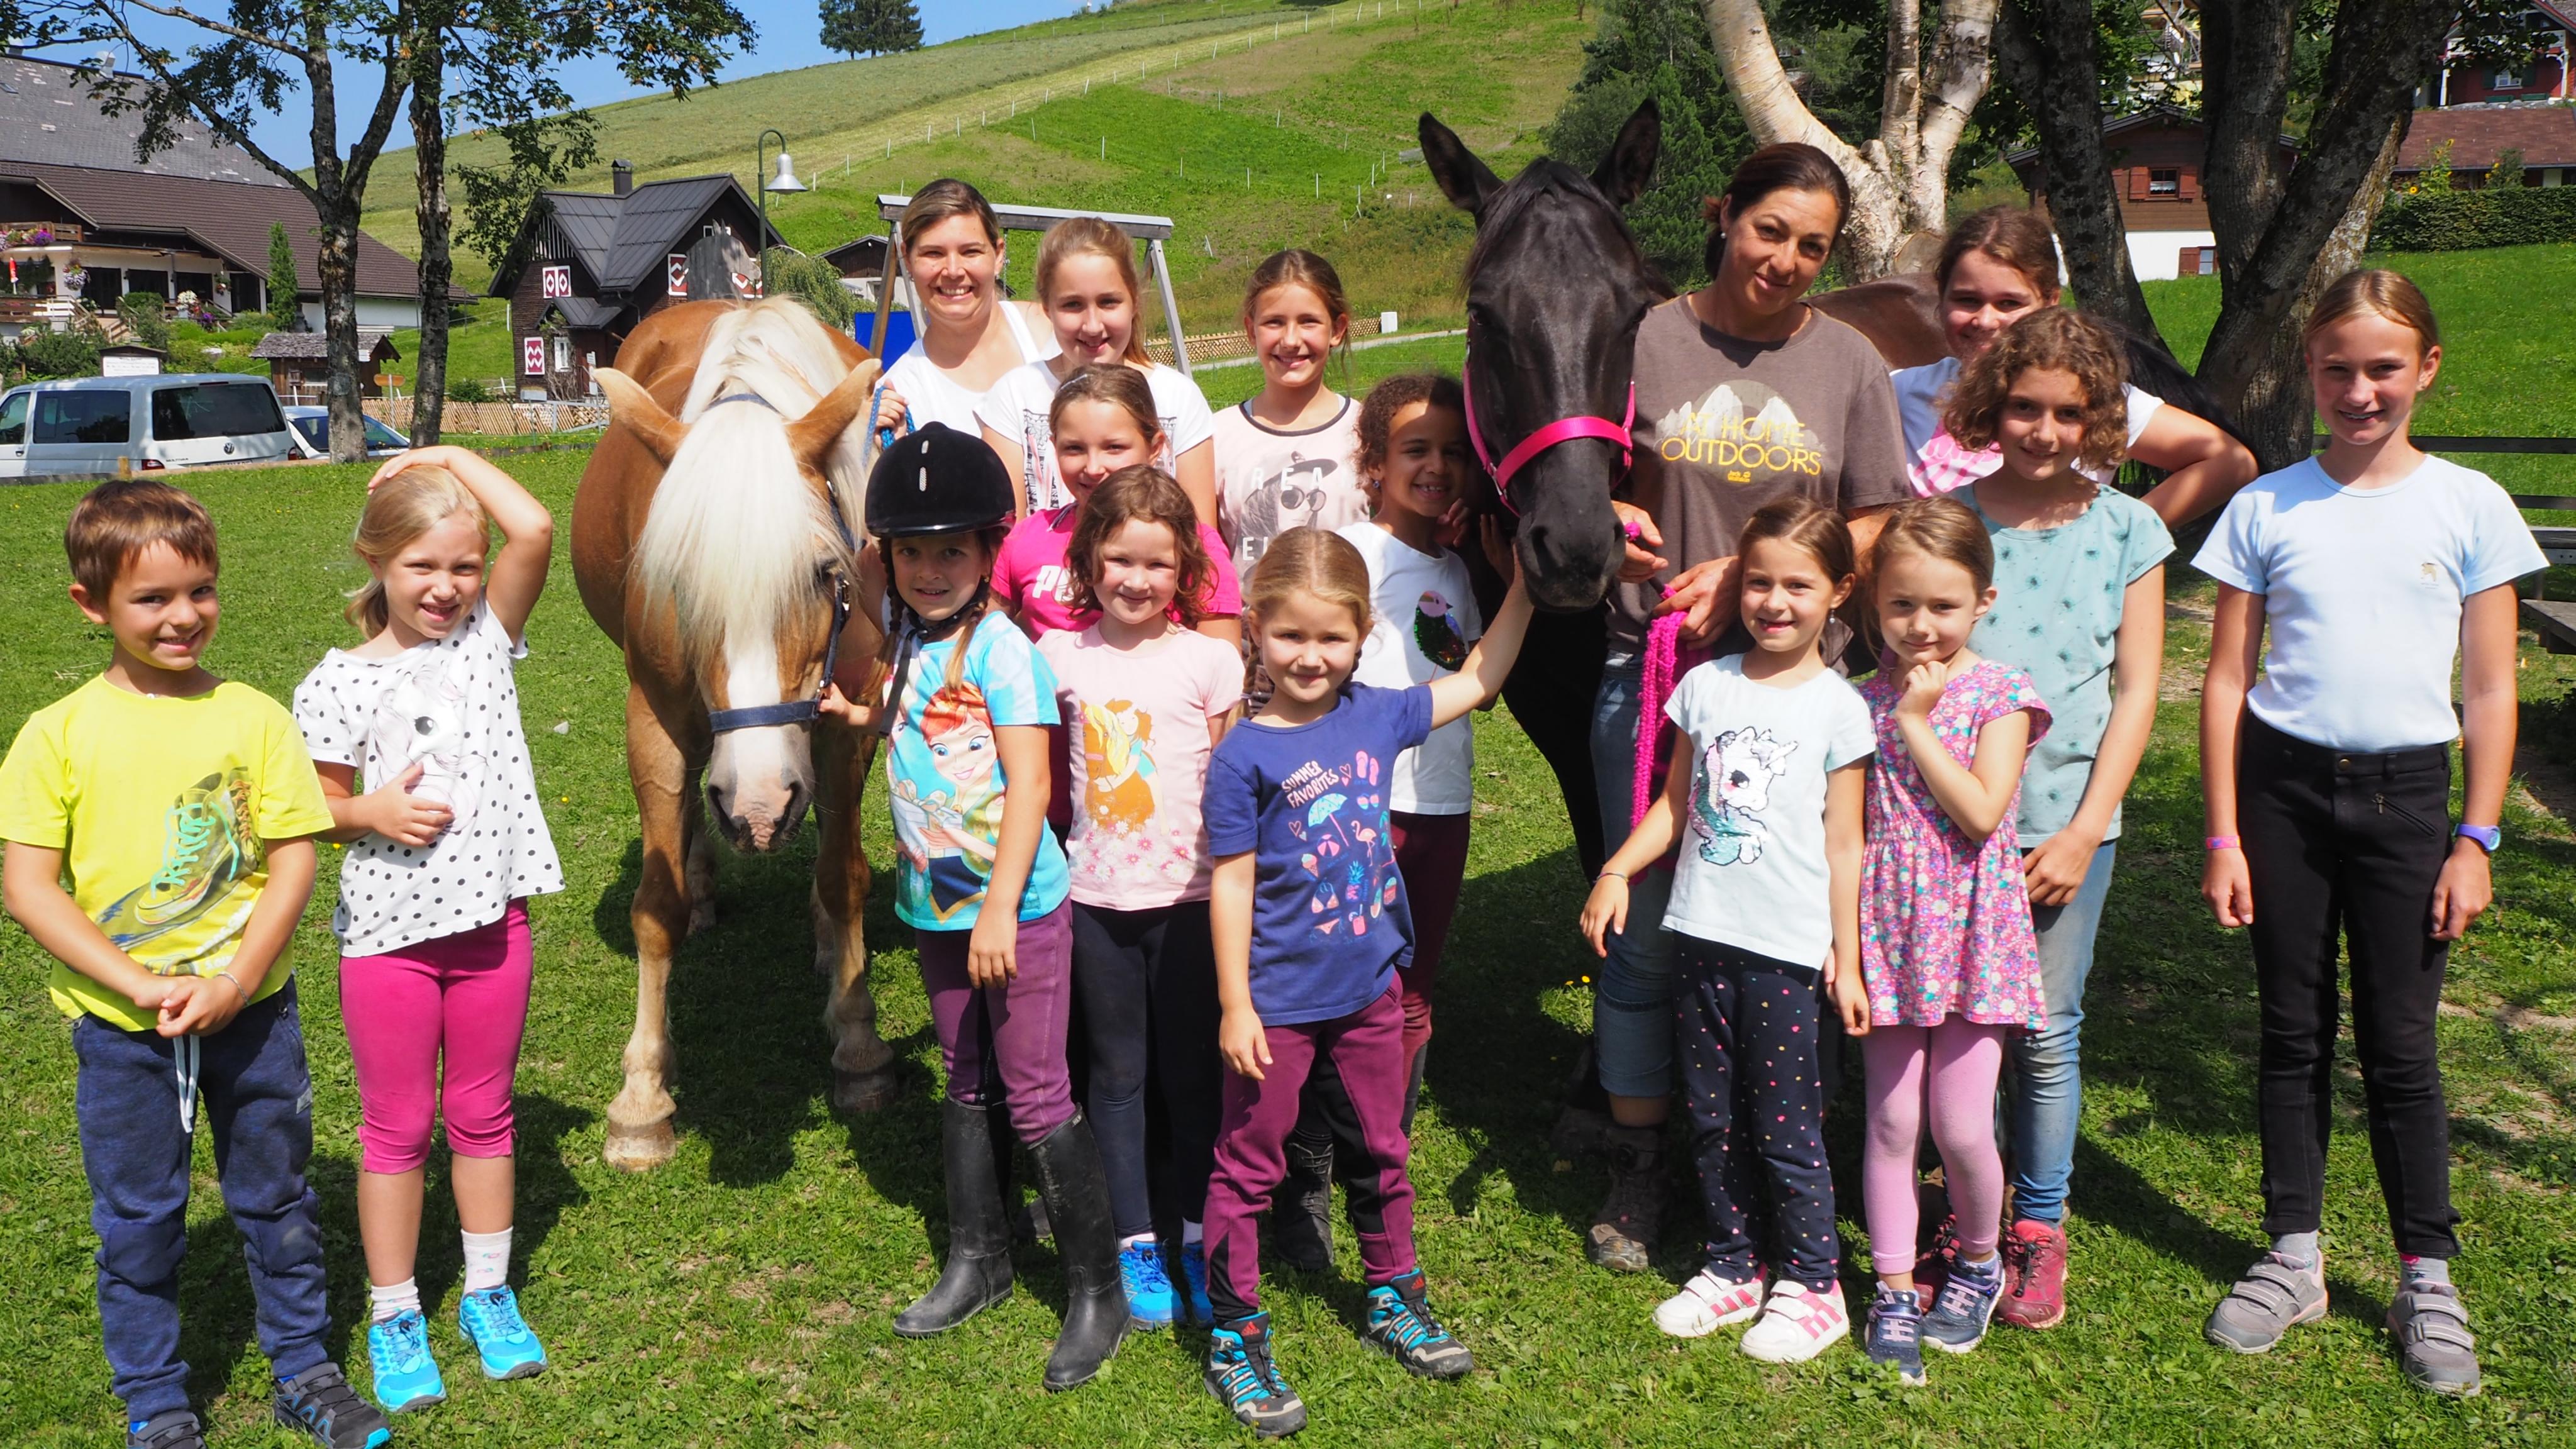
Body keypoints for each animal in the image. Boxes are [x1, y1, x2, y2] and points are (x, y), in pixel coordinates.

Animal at [570, 297, 895, 1171]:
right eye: (679, 581)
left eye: (823, 574)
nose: (756, 808)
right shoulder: (653, 719)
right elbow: (656, 906)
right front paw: (642, 1096)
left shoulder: (848, 721)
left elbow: (843, 874)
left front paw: (857, 1042)